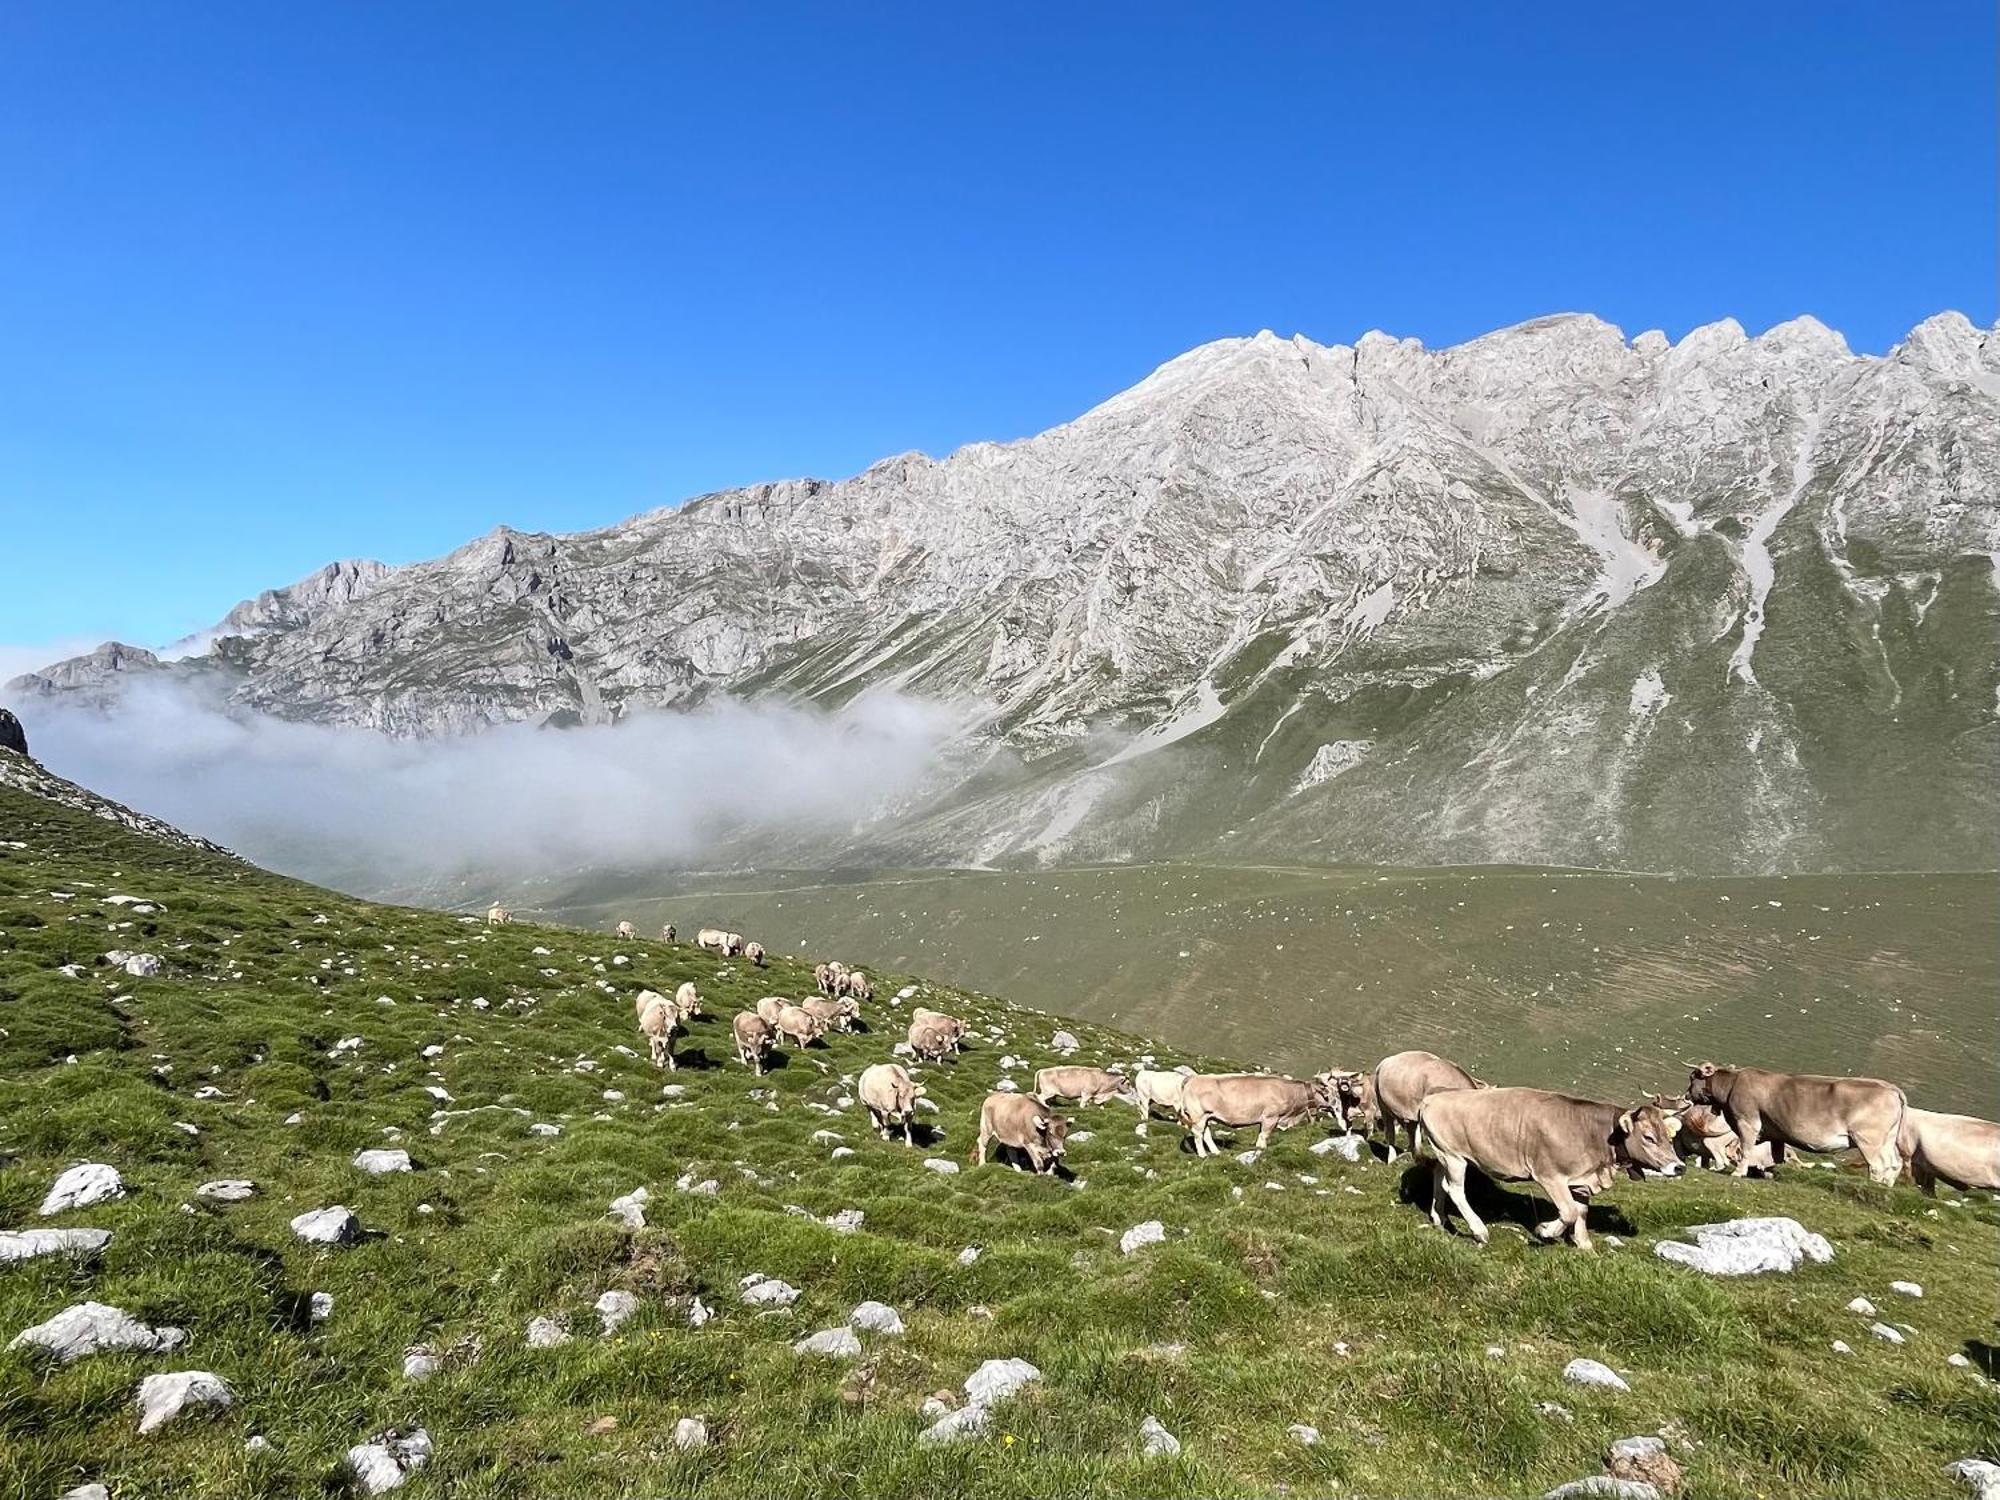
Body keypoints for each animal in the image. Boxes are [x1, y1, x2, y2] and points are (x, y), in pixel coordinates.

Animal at [1176, 1072, 1336, 1160]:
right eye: (1329, 1094)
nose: (1335, 1106)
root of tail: (1192, 1078)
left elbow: (1260, 1135)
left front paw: (1258, 1149)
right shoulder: (1271, 1118)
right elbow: (1264, 1136)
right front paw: (1262, 1150)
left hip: (1207, 1117)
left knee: (1206, 1134)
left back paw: (1216, 1152)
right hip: (1198, 1116)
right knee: (1198, 1134)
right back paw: (1202, 1154)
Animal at [1416, 1096, 1680, 1256]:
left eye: (1670, 1137)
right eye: (1648, 1137)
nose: (1679, 1167)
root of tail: (1432, 1098)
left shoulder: (1580, 1181)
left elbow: (1581, 1212)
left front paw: (1584, 1245)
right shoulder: (1551, 1175)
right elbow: (1569, 1212)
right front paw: (1545, 1231)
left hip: (1446, 1153)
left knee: (1438, 1176)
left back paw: (1439, 1216)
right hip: (1454, 1156)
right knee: (1455, 1189)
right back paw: (1479, 1231)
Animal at [1688, 1064, 1904, 1192]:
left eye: (1692, 1078)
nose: (1687, 1094)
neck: (1732, 1084)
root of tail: (1890, 1088)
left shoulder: (1747, 1122)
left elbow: (1746, 1149)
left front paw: (1738, 1172)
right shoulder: (1776, 1134)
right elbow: (1776, 1157)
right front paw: (1770, 1174)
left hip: (1868, 1140)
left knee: (1878, 1165)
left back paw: (1873, 1186)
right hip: (1888, 1140)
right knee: (1895, 1163)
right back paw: (1886, 1187)